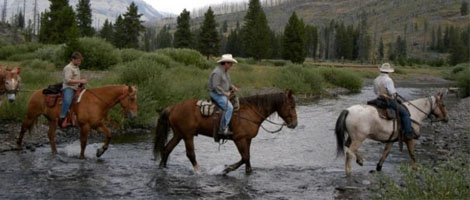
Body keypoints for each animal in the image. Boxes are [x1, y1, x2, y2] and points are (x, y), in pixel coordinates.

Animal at [156, 90, 300, 173]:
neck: (252, 111)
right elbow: (244, 157)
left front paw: (246, 171)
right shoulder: (239, 139)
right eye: (291, 106)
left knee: (167, 149)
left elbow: (247, 159)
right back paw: (198, 171)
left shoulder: (248, 139)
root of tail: (173, 107)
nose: (294, 124)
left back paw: (162, 167)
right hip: (187, 135)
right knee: (190, 154)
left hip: (178, 134)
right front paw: (227, 169)